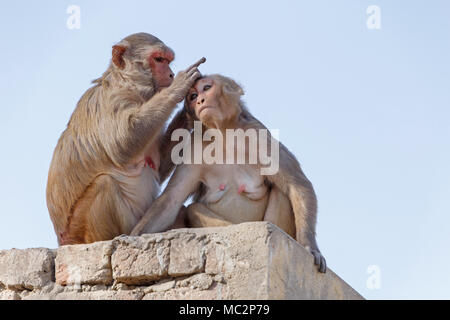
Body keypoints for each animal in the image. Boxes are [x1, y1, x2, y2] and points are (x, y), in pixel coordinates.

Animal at [46, 33, 206, 245]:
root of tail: (64, 240)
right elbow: (123, 144)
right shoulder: (114, 100)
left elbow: (157, 165)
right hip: (81, 227)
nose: (171, 74)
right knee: (105, 183)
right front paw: (179, 86)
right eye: (159, 59)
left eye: (168, 60)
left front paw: (189, 112)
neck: (128, 83)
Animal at [131, 74, 326, 272]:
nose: (200, 100)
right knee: (192, 209)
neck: (224, 133)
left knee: (281, 192)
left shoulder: (259, 134)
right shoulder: (195, 147)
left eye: (206, 88)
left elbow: (297, 185)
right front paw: (132, 236)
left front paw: (309, 246)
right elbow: (172, 200)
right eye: (193, 96)